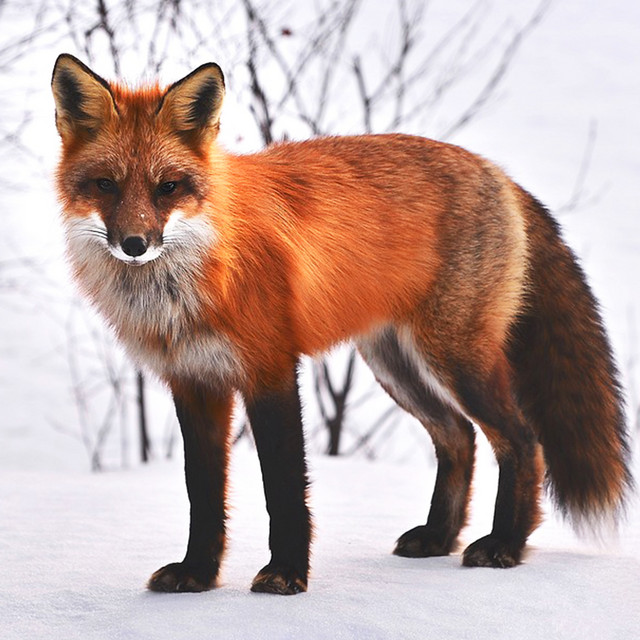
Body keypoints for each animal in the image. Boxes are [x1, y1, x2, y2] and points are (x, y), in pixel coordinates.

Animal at [51, 53, 631, 595]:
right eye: (105, 185)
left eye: (168, 187)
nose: (135, 244)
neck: (196, 276)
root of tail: (497, 172)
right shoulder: (194, 383)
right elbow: (204, 494)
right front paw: (197, 574)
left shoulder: (270, 370)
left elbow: (284, 488)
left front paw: (286, 574)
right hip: (395, 365)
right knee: (459, 437)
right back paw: (439, 537)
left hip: (455, 358)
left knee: (523, 440)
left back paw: (506, 544)